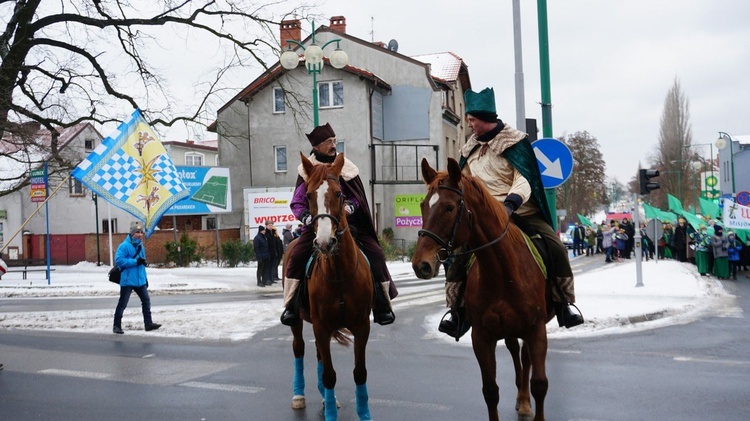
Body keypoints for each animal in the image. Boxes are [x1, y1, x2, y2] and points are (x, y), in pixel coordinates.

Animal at [284, 152, 374, 420]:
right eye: (308, 195)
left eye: (339, 194)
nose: (324, 242)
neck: (339, 273)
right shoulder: (322, 327)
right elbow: (329, 375)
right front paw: (331, 413)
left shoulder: (361, 326)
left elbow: (359, 373)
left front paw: (363, 413)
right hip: (297, 321)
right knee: (299, 348)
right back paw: (299, 395)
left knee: (318, 355)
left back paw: (326, 399)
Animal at [412, 158, 552, 420]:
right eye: (423, 205)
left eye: (449, 207)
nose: (420, 264)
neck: (503, 273)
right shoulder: (482, 337)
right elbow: (490, 391)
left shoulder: (536, 330)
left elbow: (539, 384)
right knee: (515, 351)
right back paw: (521, 398)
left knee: (525, 357)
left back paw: (524, 401)